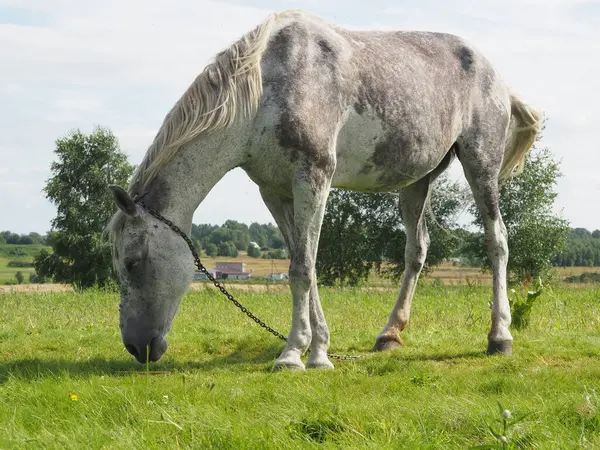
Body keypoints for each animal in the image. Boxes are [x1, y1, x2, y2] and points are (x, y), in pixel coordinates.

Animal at [108, 9, 544, 370]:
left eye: (133, 262)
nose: (136, 347)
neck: (267, 88)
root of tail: (495, 75)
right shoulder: (275, 192)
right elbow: (305, 265)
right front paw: (315, 349)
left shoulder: (313, 178)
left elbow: (302, 268)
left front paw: (294, 355)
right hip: (417, 182)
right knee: (417, 249)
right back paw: (390, 334)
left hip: (480, 166)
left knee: (497, 241)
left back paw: (499, 337)